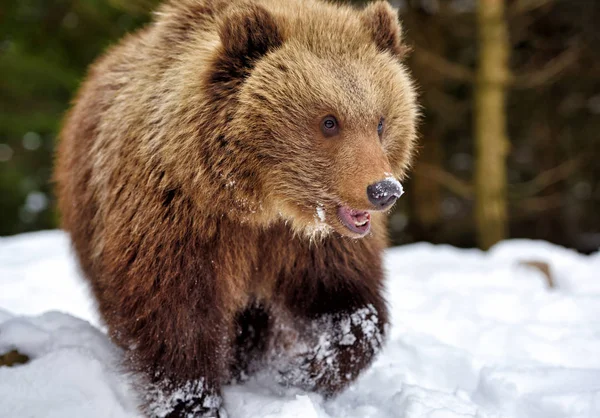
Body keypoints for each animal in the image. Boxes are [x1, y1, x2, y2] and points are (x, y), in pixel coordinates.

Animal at [54, 0, 418, 414]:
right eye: (329, 121)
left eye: (380, 121)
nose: (384, 190)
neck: (258, 204)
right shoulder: (179, 223)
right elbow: (176, 320)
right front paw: (194, 402)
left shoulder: (312, 246)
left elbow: (350, 306)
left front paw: (297, 372)